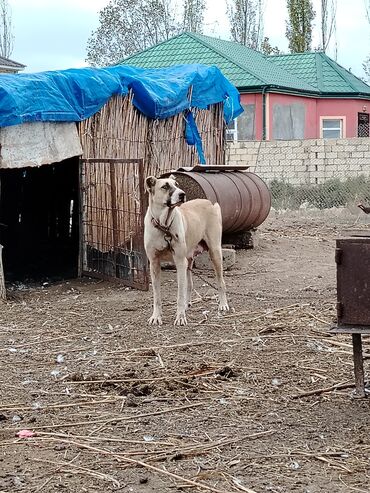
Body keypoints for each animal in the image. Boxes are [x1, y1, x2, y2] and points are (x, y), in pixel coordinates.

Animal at [144, 175, 228, 324]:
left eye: (177, 184)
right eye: (165, 186)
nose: (182, 194)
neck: (164, 226)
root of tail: (209, 202)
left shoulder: (179, 262)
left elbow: (179, 294)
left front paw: (180, 317)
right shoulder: (154, 263)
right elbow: (157, 295)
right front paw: (156, 316)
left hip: (214, 253)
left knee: (220, 282)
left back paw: (223, 304)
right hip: (188, 260)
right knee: (189, 284)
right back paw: (187, 304)